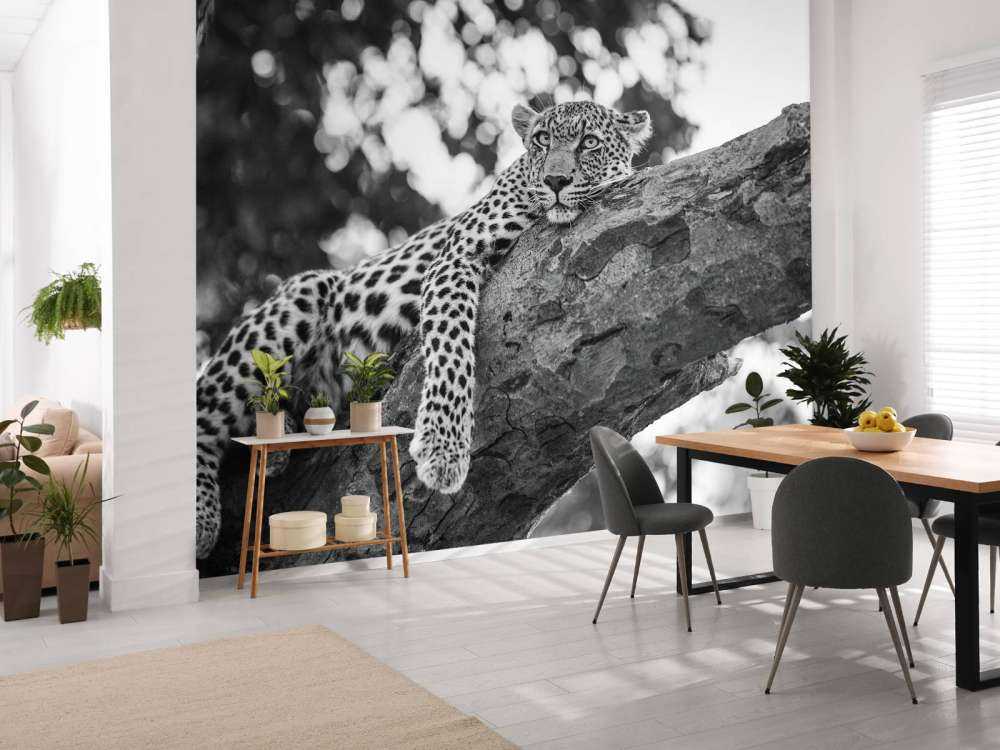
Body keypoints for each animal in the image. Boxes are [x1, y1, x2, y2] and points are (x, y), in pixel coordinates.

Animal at [195, 99, 653, 559]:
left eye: (589, 142)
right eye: (542, 140)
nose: (555, 180)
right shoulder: (455, 257)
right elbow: (451, 348)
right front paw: (443, 449)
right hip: (301, 297)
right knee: (202, 416)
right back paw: (202, 521)